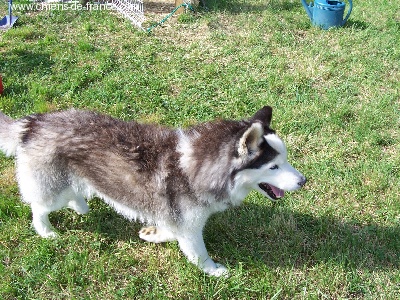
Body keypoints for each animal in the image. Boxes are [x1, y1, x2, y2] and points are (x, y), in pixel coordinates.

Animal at [0, 107, 306, 276]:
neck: (198, 165)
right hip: (52, 188)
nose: (303, 181)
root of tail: (34, 121)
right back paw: (46, 230)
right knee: (38, 207)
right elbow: (198, 253)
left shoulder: (178, 220)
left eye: (285, 160)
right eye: (274, 166)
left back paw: (80, 205)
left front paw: (152, 233)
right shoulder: (190, 227)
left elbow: (169, 231)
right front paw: (213, 271)